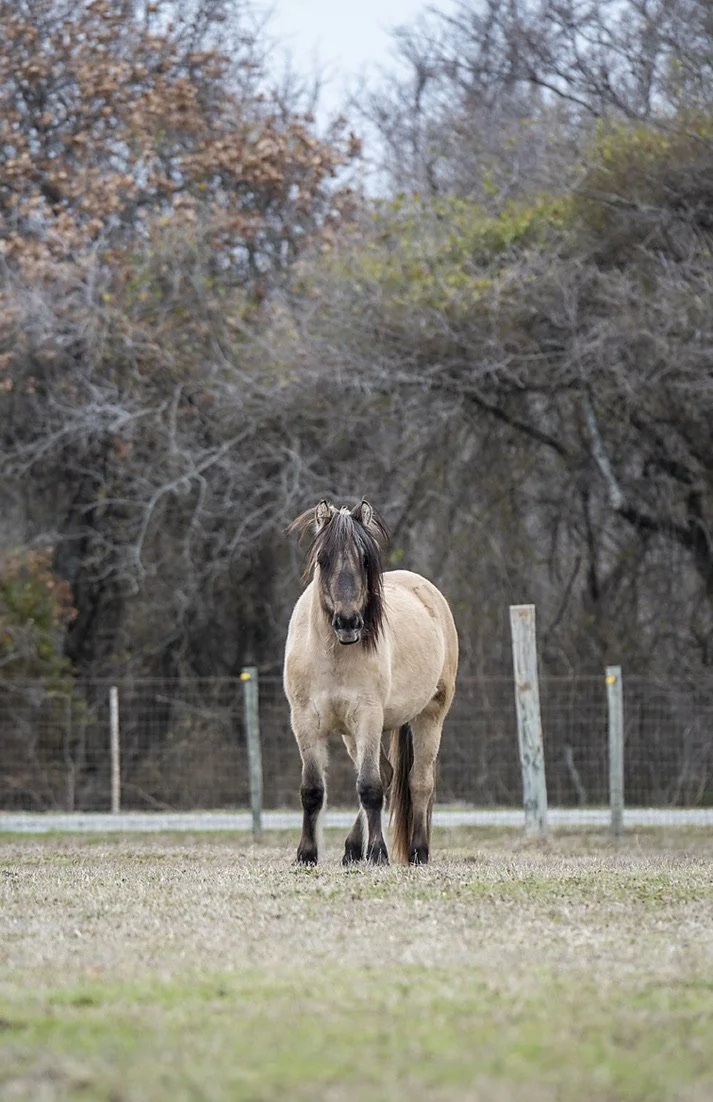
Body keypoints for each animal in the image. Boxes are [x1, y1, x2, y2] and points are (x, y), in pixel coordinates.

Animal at [283, 499, 459, 866]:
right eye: (323, 559)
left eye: (366, 559)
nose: (349, 622)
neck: (332, 655)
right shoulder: (305, 722)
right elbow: (312, 790)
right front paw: (306, 854)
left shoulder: (367, 717)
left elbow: (370, 787)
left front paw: (378, 853)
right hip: (356, 733)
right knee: (390, 773)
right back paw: (352, 849)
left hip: (429, 716)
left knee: (419, 781)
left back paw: (418, 851)